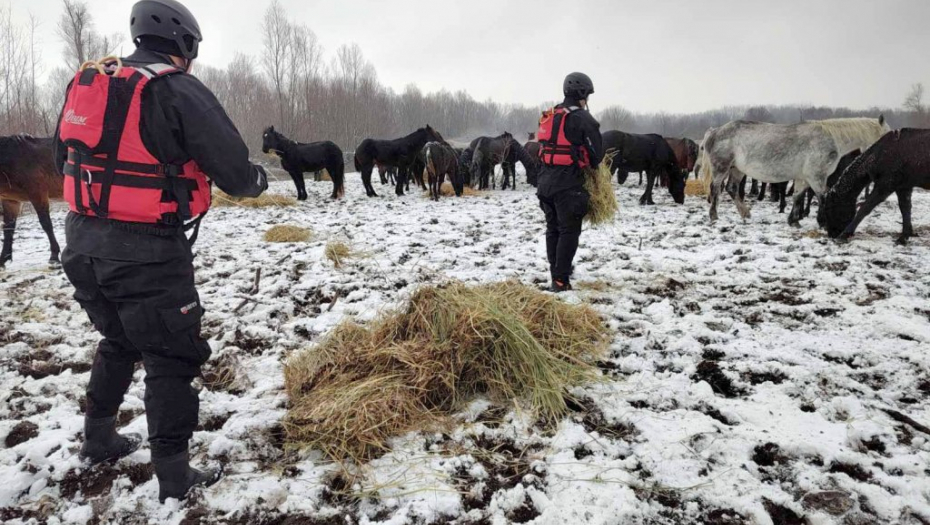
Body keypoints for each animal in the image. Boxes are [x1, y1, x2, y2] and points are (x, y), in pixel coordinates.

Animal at [0, 135, 63, 268]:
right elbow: (8, 229)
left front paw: (54, 256)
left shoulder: (38, 194)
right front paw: (3, 259)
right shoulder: (11, 201)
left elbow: (46, 224)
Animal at [700, 116, 888, 225]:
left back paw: (745, 213)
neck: (831, 138)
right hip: (721, 168)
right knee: (715, 189)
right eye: (887, 135)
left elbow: (798, 196)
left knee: (731, 189)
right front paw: (822, 221)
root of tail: (715, 131)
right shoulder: (817, 177)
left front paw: (794, 220)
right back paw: (714, 216)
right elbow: (823, 196)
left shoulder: (804, 177)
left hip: (737, 169)